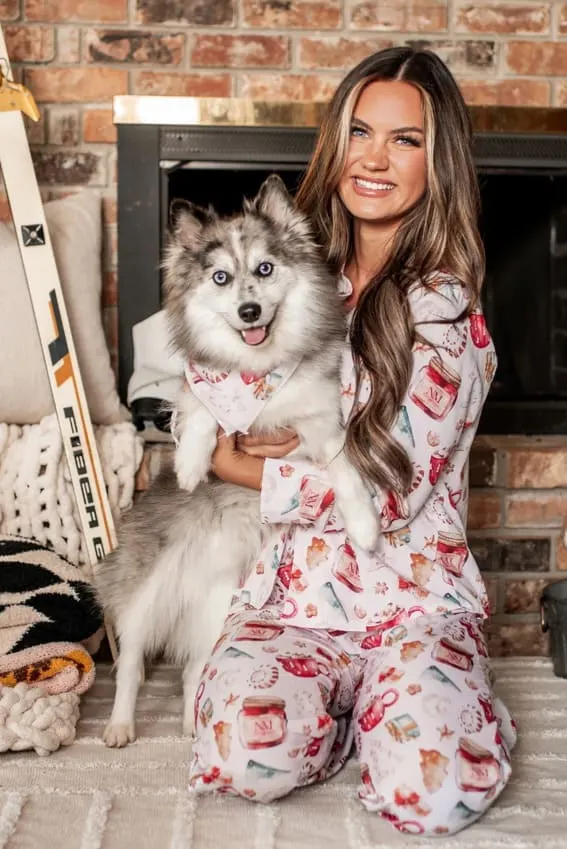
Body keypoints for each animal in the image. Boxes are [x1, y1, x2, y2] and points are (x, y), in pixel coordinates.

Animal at [95, 176, 380, 744]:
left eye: (265, 269)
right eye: (221, 278)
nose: (249, 312)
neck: (257, 372)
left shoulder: (321, 423)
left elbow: (346, 472)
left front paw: (364, 526)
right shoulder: (202, 387)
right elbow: (201, 407)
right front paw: (189, 466)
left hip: (217, 610)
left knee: (192, 672)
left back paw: (189, 724)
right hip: (144, 596)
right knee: (132, 664)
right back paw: (119, 725)